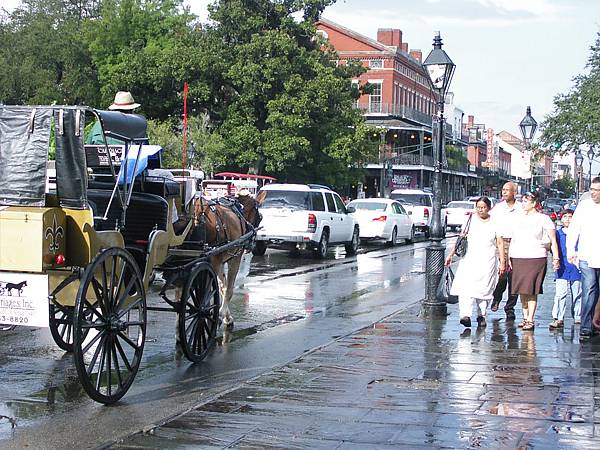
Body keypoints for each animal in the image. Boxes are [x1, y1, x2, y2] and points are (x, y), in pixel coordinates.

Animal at [190, 193, 260, 326]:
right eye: (258, 213)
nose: (251, 245)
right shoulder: (234, 258)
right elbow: (228, 289)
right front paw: (222, 315)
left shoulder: (218, 263)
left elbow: (221, 287)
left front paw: (224, 315)